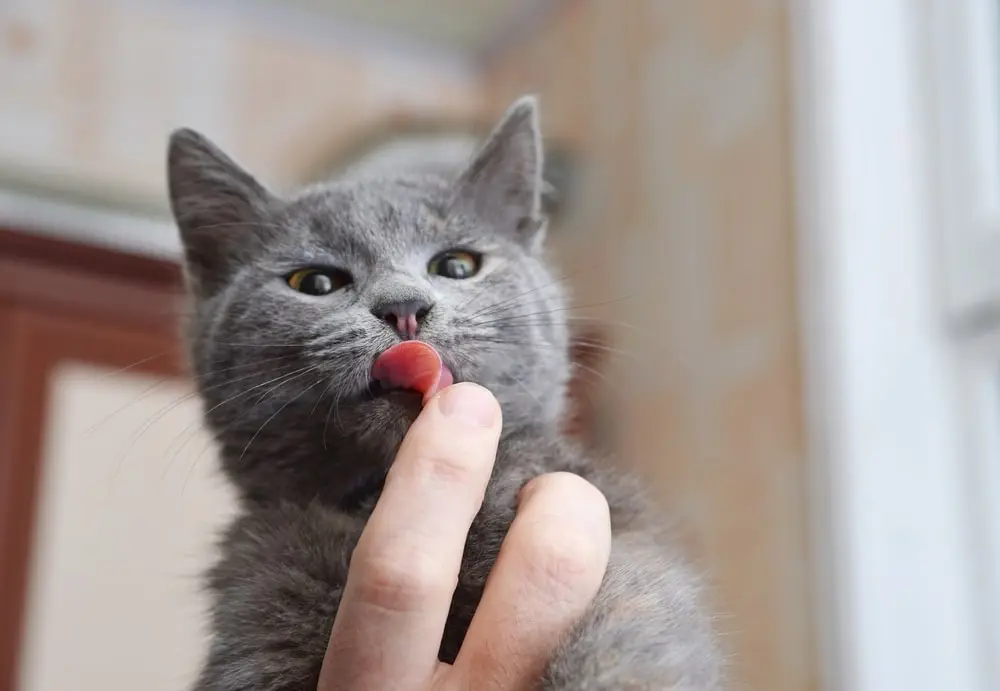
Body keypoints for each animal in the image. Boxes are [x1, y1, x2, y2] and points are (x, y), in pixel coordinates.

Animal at [168, 94, 724, 688]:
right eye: (314, 282)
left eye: (457, 265)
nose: (404, 306)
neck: (379, 496)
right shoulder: (256, 615)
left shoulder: (627, 543)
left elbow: (630, 632)